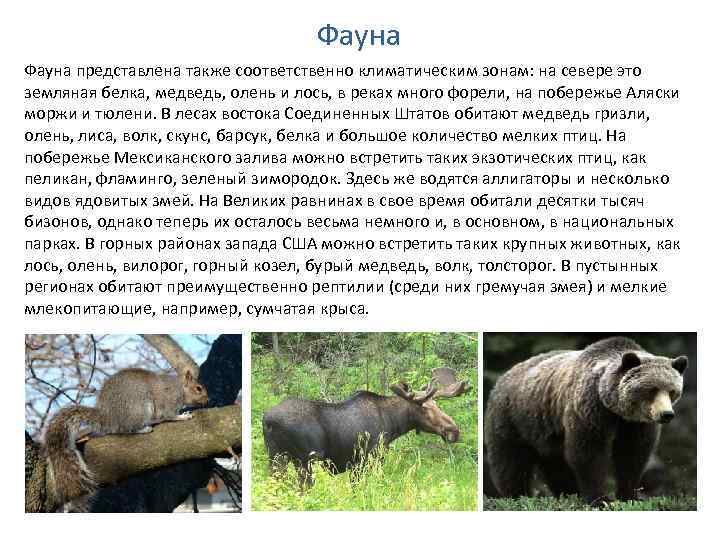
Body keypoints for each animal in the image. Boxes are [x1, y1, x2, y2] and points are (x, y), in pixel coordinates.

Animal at [43, 367, 209, 511]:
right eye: (198, 388)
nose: (208, 400)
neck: (179, 388)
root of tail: (108, 417)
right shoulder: (168, 402)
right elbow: (169, 415)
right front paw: (183, 416)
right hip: (139, 408)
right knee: (126, 429)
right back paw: (144, 428)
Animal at [484, 336, 688, 504]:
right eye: (652, 389)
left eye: (672, 391)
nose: (666, 414)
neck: (615, 409)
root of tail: (503, 376)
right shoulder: (589, 409)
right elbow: (588, 453)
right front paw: (600, 499)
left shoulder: (636, 424)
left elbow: (632, 455)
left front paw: (630, 496)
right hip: (515, 419)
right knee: (512, 462)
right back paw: (518, 495)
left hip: (546, 431)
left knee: (554, 464)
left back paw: (567, 493)